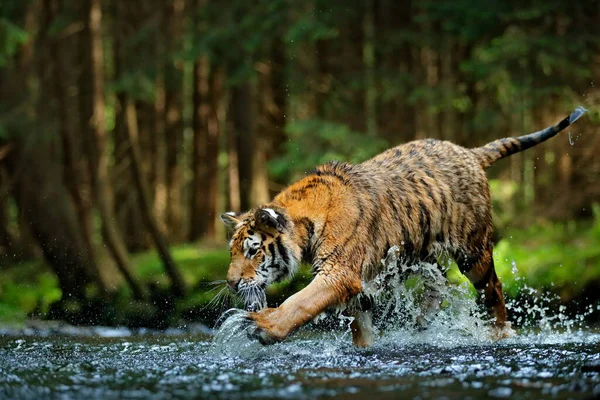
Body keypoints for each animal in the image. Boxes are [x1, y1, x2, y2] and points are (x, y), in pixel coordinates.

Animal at [219, 106, 584, 346]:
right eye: (233, 252)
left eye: (253, 251)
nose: (232, 284)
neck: (306, 225)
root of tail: (469, 152)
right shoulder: (359, 285)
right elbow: (360, 325)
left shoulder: (339, 272)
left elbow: (301, 302)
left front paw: (262, 326)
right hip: (418, 251)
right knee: (440, 282)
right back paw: (424, 319)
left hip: (473, 252)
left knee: (493, 290)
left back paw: (499, 335)